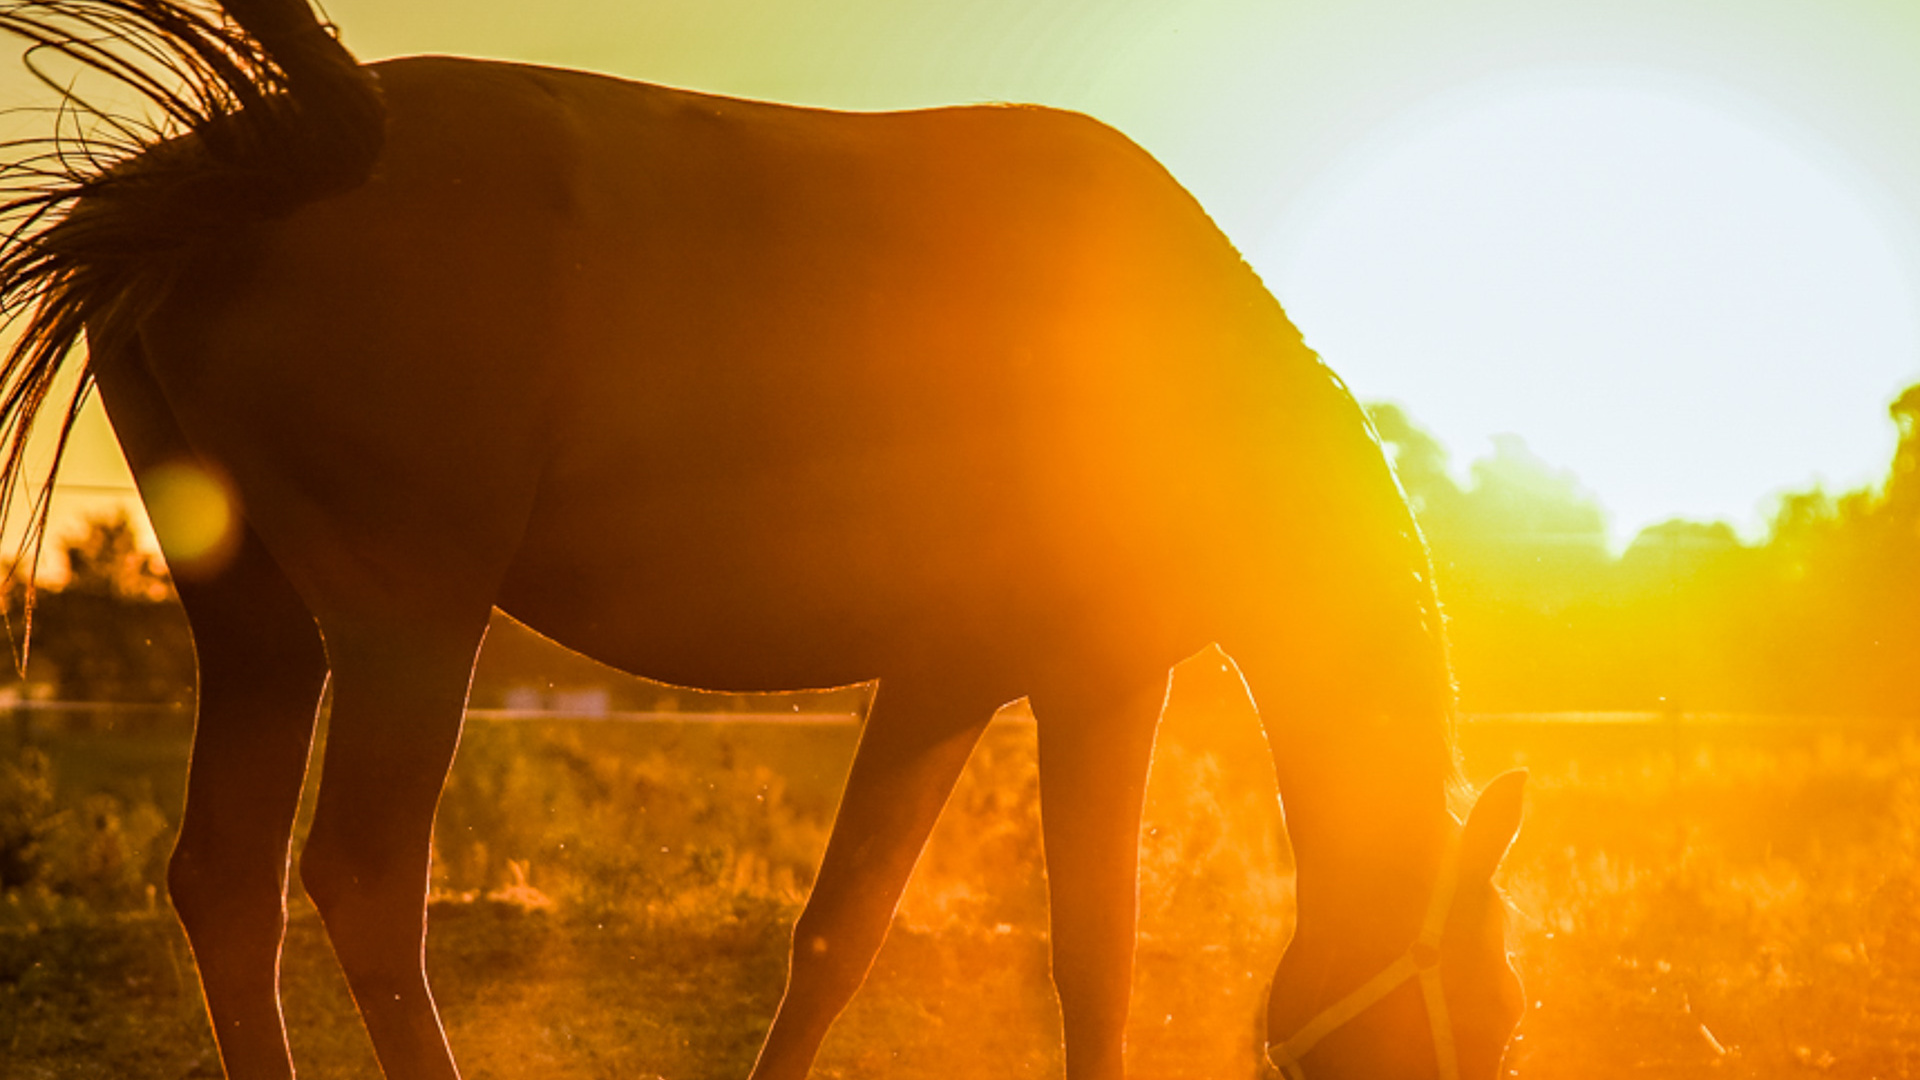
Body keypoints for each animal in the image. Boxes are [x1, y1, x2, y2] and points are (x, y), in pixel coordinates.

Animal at [0, 2, 1528, 1076]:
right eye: (1504, 1014)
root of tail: (256, 167)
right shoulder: (1021, 684)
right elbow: (974, 948)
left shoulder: (1038, 686)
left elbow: (954, 947)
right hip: (409, 626)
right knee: (365, 882)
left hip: (257, 627)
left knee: (228, 882)